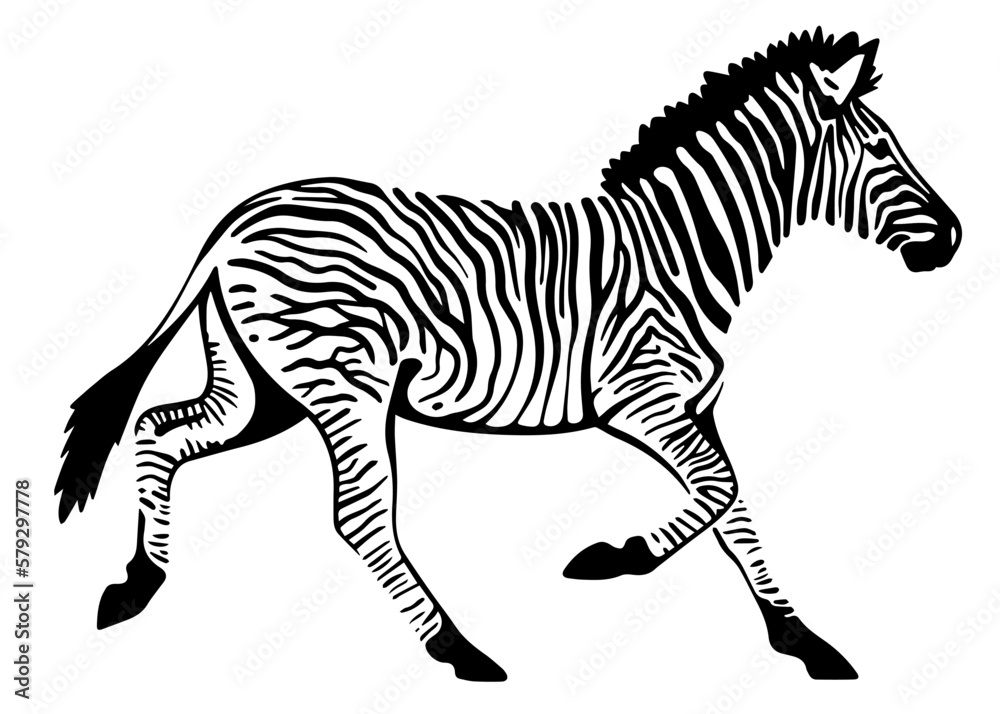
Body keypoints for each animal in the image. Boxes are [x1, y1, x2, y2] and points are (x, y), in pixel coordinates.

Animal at [55, 29, 960, 683]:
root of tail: (241, 217)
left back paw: (137, 583)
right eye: (882, 149)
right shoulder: (643, 398)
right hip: (344, 380)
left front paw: (802, 639)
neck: (681, 250)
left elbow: (735, 513)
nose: (952, 239)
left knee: (162, 431)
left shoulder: (692, 407)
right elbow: (719, 493)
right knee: (360, 517)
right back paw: (459, 649)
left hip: (263, 388)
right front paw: (614, 559)